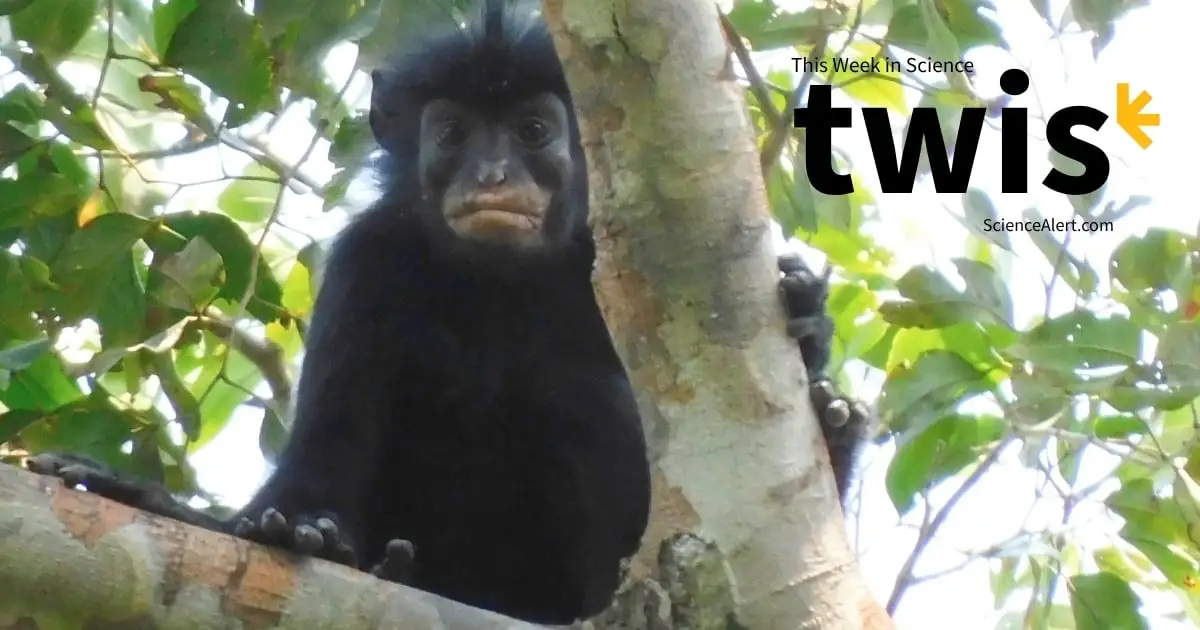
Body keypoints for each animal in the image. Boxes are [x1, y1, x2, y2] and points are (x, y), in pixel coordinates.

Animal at [26, 0, 869, 623]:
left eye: (533, 131)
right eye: (456, 133)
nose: (492, 174)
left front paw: (807, 324)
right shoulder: (364, 261)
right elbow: (299, 488)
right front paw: (177, 504)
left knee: (575, 395)